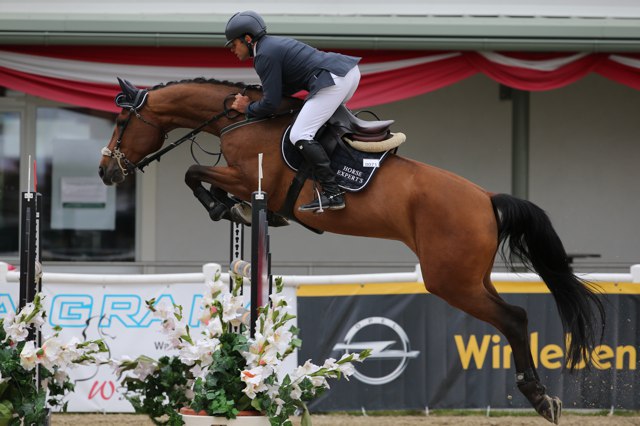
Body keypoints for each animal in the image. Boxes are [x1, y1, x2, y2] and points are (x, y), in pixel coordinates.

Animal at [97, 77, 604, 422]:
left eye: (121, 121)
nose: (106, 171)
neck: (242, 117)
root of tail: (486, 199)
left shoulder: (249, 178)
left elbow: (194, 175)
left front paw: (225, 207)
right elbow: (201, 178)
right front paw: (230, 208)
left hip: (450, 281)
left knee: (514, 318)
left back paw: (540, 399)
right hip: (470, 277)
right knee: (510, 317)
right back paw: (541, 396)